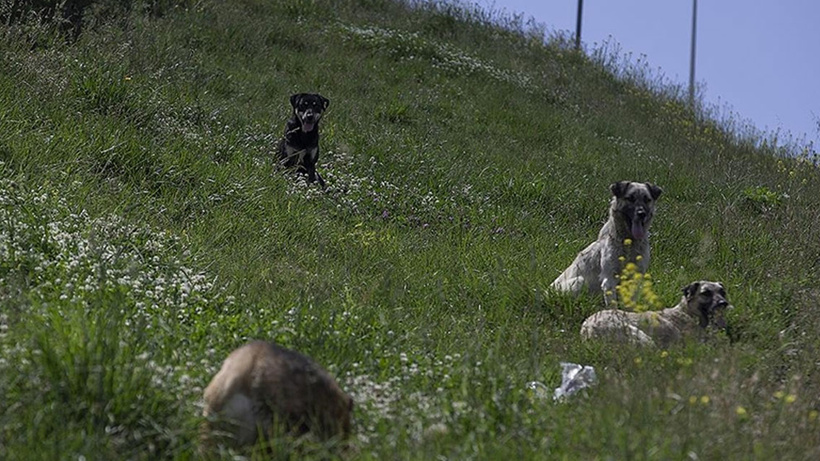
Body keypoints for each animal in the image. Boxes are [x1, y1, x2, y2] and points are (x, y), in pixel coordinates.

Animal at [580, 278, 732, 346]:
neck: (687, 312)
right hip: (638, 335)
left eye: (722, 292)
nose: (723, 303)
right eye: (706, 293)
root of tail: (587, 329)